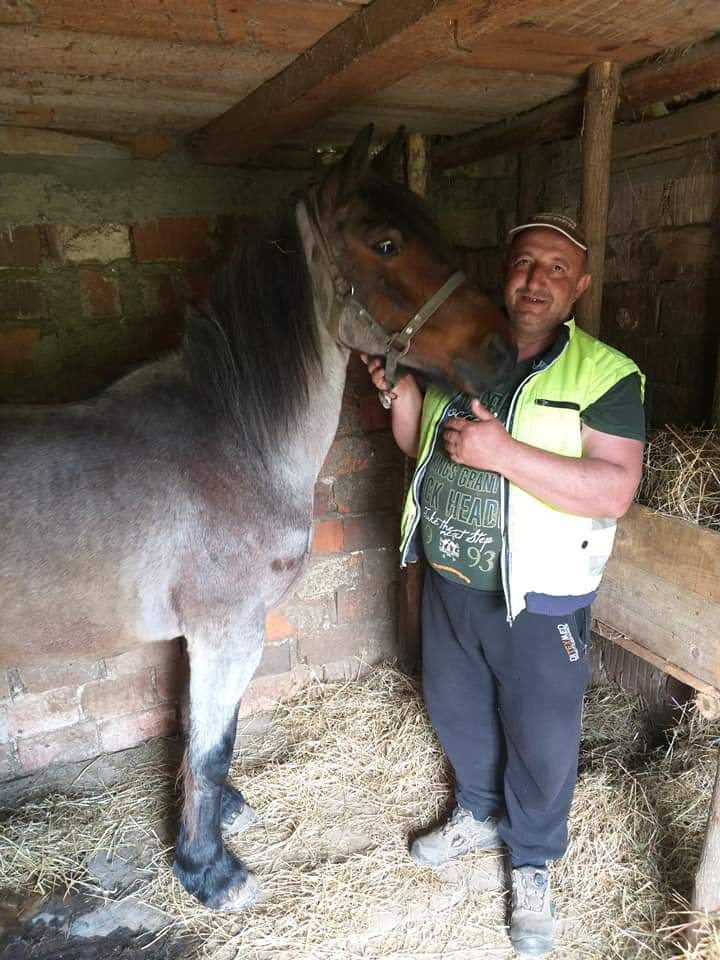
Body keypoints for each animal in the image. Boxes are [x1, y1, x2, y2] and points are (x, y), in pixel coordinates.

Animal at [1, 124, 516, 912]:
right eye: (387, 243)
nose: (502, 349)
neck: (235, 438)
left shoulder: (210, 637)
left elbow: (204, 735)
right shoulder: (228, 631)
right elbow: (213, 747)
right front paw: (210, 871)